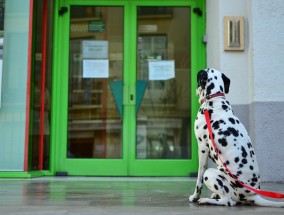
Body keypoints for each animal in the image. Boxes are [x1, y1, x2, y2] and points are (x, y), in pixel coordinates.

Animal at [189, 68, 284, 207]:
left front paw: (195, 197)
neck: (214, 100)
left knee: (228, 201)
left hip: (211, 173)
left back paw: (206, 200)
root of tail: (253, 195)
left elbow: (199, 178)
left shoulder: (202, 148)